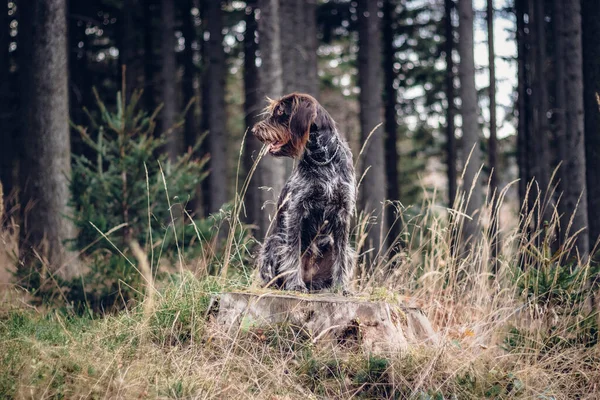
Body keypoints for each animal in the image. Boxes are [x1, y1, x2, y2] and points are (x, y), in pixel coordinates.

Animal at [250, 93, 354, 294]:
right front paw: (295, 284)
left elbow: (341, 257)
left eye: (280, 111)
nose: (254, 130)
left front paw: (342, 287)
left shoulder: (343, 212)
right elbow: (292, 253)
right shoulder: (296, 210)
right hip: (274, 242)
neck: (322, 159)